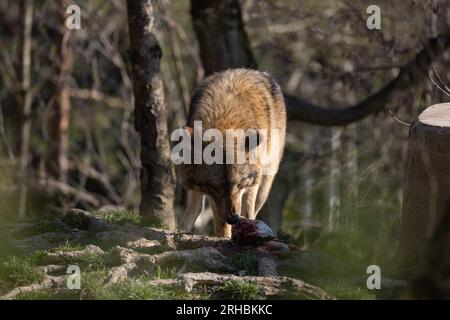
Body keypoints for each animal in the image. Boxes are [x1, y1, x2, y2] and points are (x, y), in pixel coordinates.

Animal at [178, 68, 286, 238]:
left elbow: (247, 209)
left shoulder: (251, 183)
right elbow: (220, 221)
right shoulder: (214, 197)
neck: (224, 121)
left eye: (238, 183)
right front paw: (225, 236)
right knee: (196, 206)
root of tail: (252, 71)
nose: (233, 218)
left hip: (265, 183)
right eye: (216, 188)